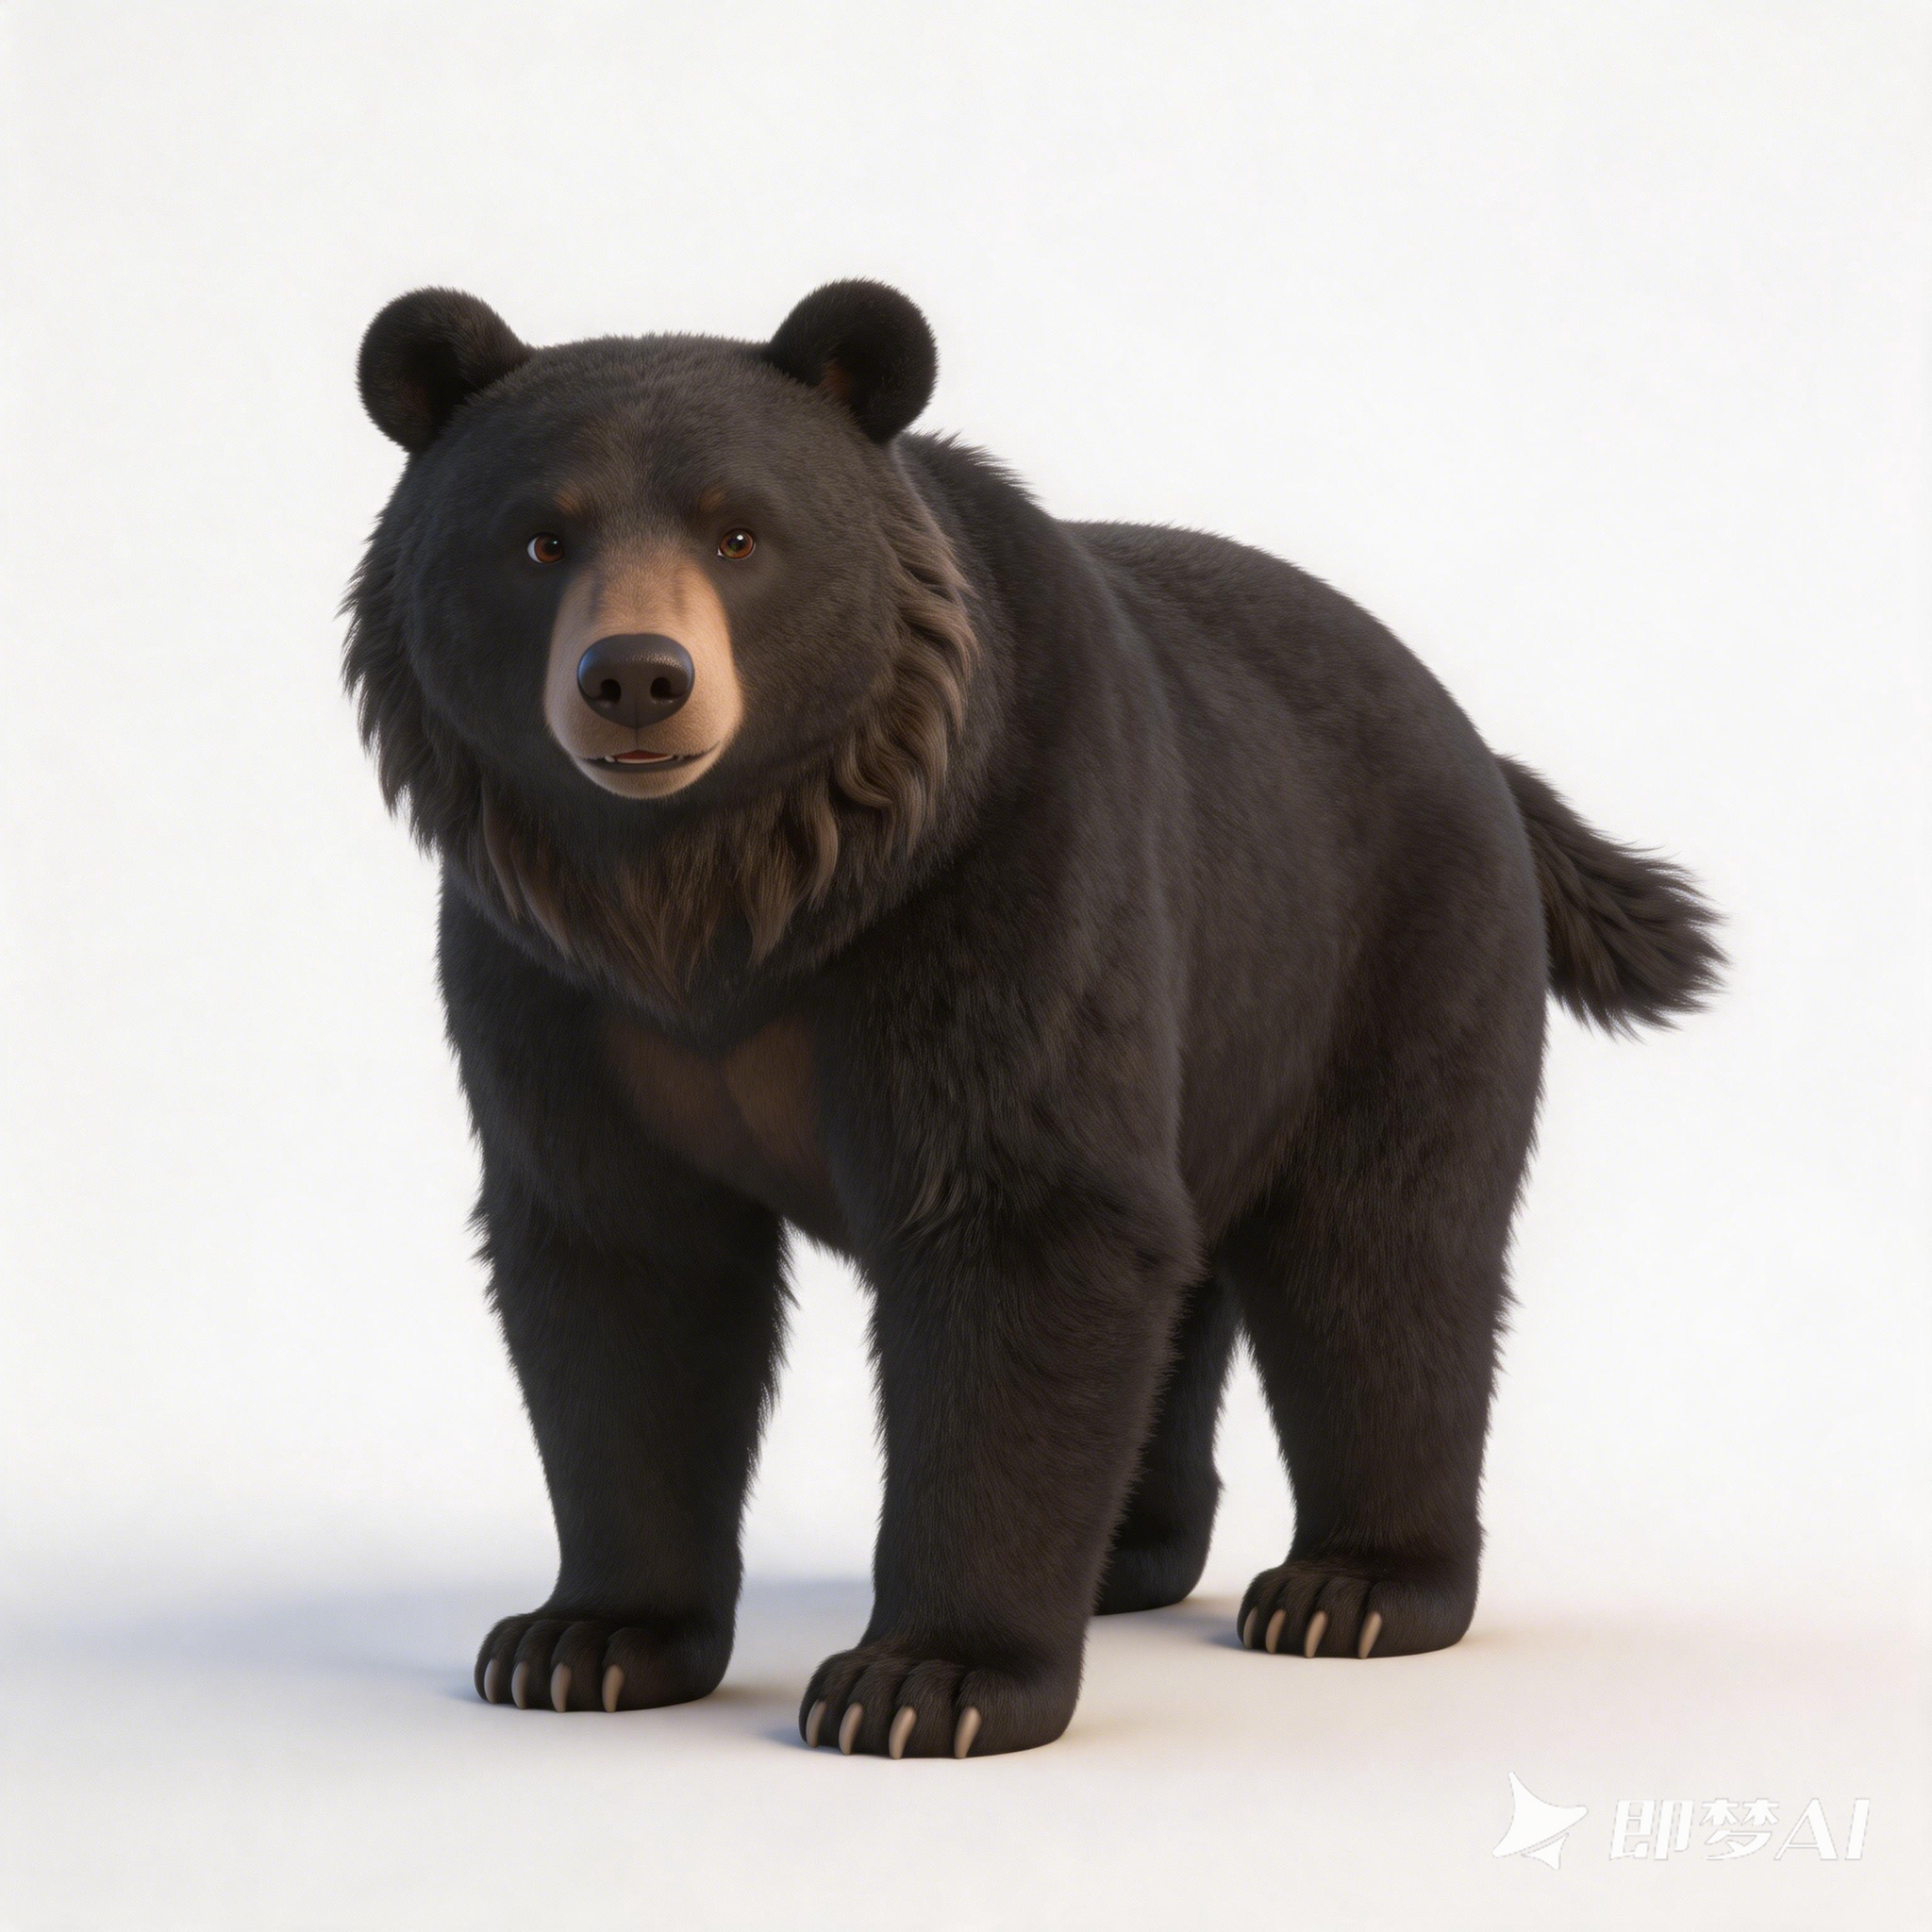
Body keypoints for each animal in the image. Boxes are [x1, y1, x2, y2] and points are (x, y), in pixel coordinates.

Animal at [346, 280, 1721, 1758]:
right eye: (539, 536)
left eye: (739, 531)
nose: (638, 679)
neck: (725, 893)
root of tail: (1484, 749)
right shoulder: (553, 983)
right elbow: (621, 1264)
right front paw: (583, 1640)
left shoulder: (1004, 874)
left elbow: (1022, 1226)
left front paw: (925, 1678)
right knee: (1196, 1273)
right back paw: (1129, 1548)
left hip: (1380, 951)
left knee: (1380, 1249)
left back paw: (1351, 1587)